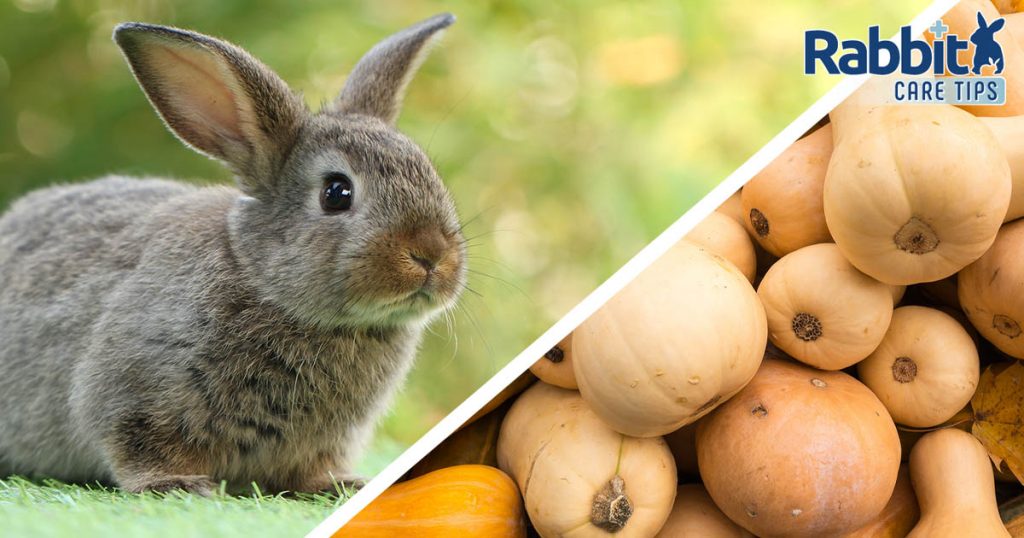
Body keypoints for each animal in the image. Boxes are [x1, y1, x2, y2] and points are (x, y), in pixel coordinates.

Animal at [0, 13, 465, 495]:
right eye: (337, 193)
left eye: (429, 173)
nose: (432, 255)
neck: (259, 278)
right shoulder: (133, 393)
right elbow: (137, 444)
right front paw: (178, 484)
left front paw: (341, 484)